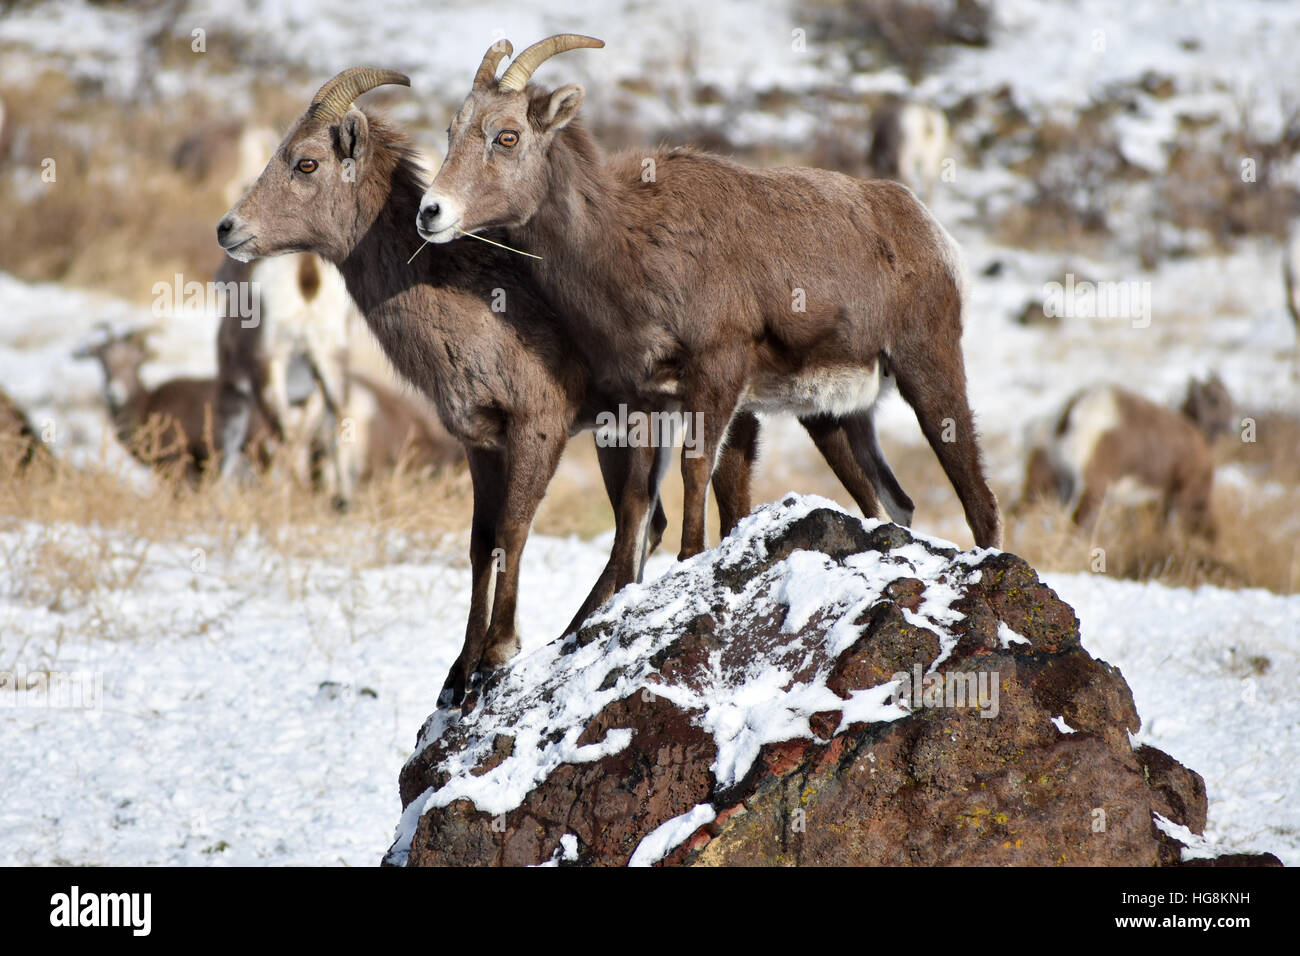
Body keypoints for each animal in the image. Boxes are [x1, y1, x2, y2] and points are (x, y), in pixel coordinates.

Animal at [211, 63, 691, 697]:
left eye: (306, 162)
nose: (228, 229)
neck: (471, 302)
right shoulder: (480, 444)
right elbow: (480, 543)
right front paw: (458, 675)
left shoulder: (538, 428)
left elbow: (514, 530)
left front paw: (497, 655)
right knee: (644, 523)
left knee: (636, 521)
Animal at [421, 37, 998, 556]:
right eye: (452, 132)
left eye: (508, 136)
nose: (431, 212)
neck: (631, 246)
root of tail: (931, 233)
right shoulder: (651, 400)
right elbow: (643, 503)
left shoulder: (716, 374)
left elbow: (695, 471)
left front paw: (689, 556)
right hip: (834, 416)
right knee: (892, 503)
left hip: (929, 371)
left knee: (979, 502)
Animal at [1019, 374, 1232, 538]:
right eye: (1214, 399)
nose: (1232, 425)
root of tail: (1071, 415)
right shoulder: (1187, 495)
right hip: (1090, 488)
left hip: (1056, 484)